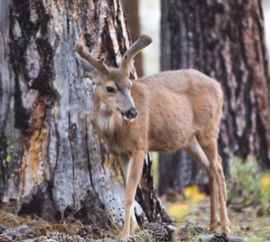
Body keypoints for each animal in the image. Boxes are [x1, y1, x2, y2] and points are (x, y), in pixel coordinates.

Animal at [75, 34, 231, 240]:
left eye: (129, 85)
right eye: (110, 88)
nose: (133, 112)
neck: (116, 131)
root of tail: (218, 86)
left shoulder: (140, 146)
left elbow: (130, 193)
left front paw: (125, 234)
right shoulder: (120, 152)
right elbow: (129, 190)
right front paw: (134, 229)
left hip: (209, 128)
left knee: (219, 166)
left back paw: (226, 226)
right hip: (189, 140)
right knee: (210, 168)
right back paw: (213, 225)